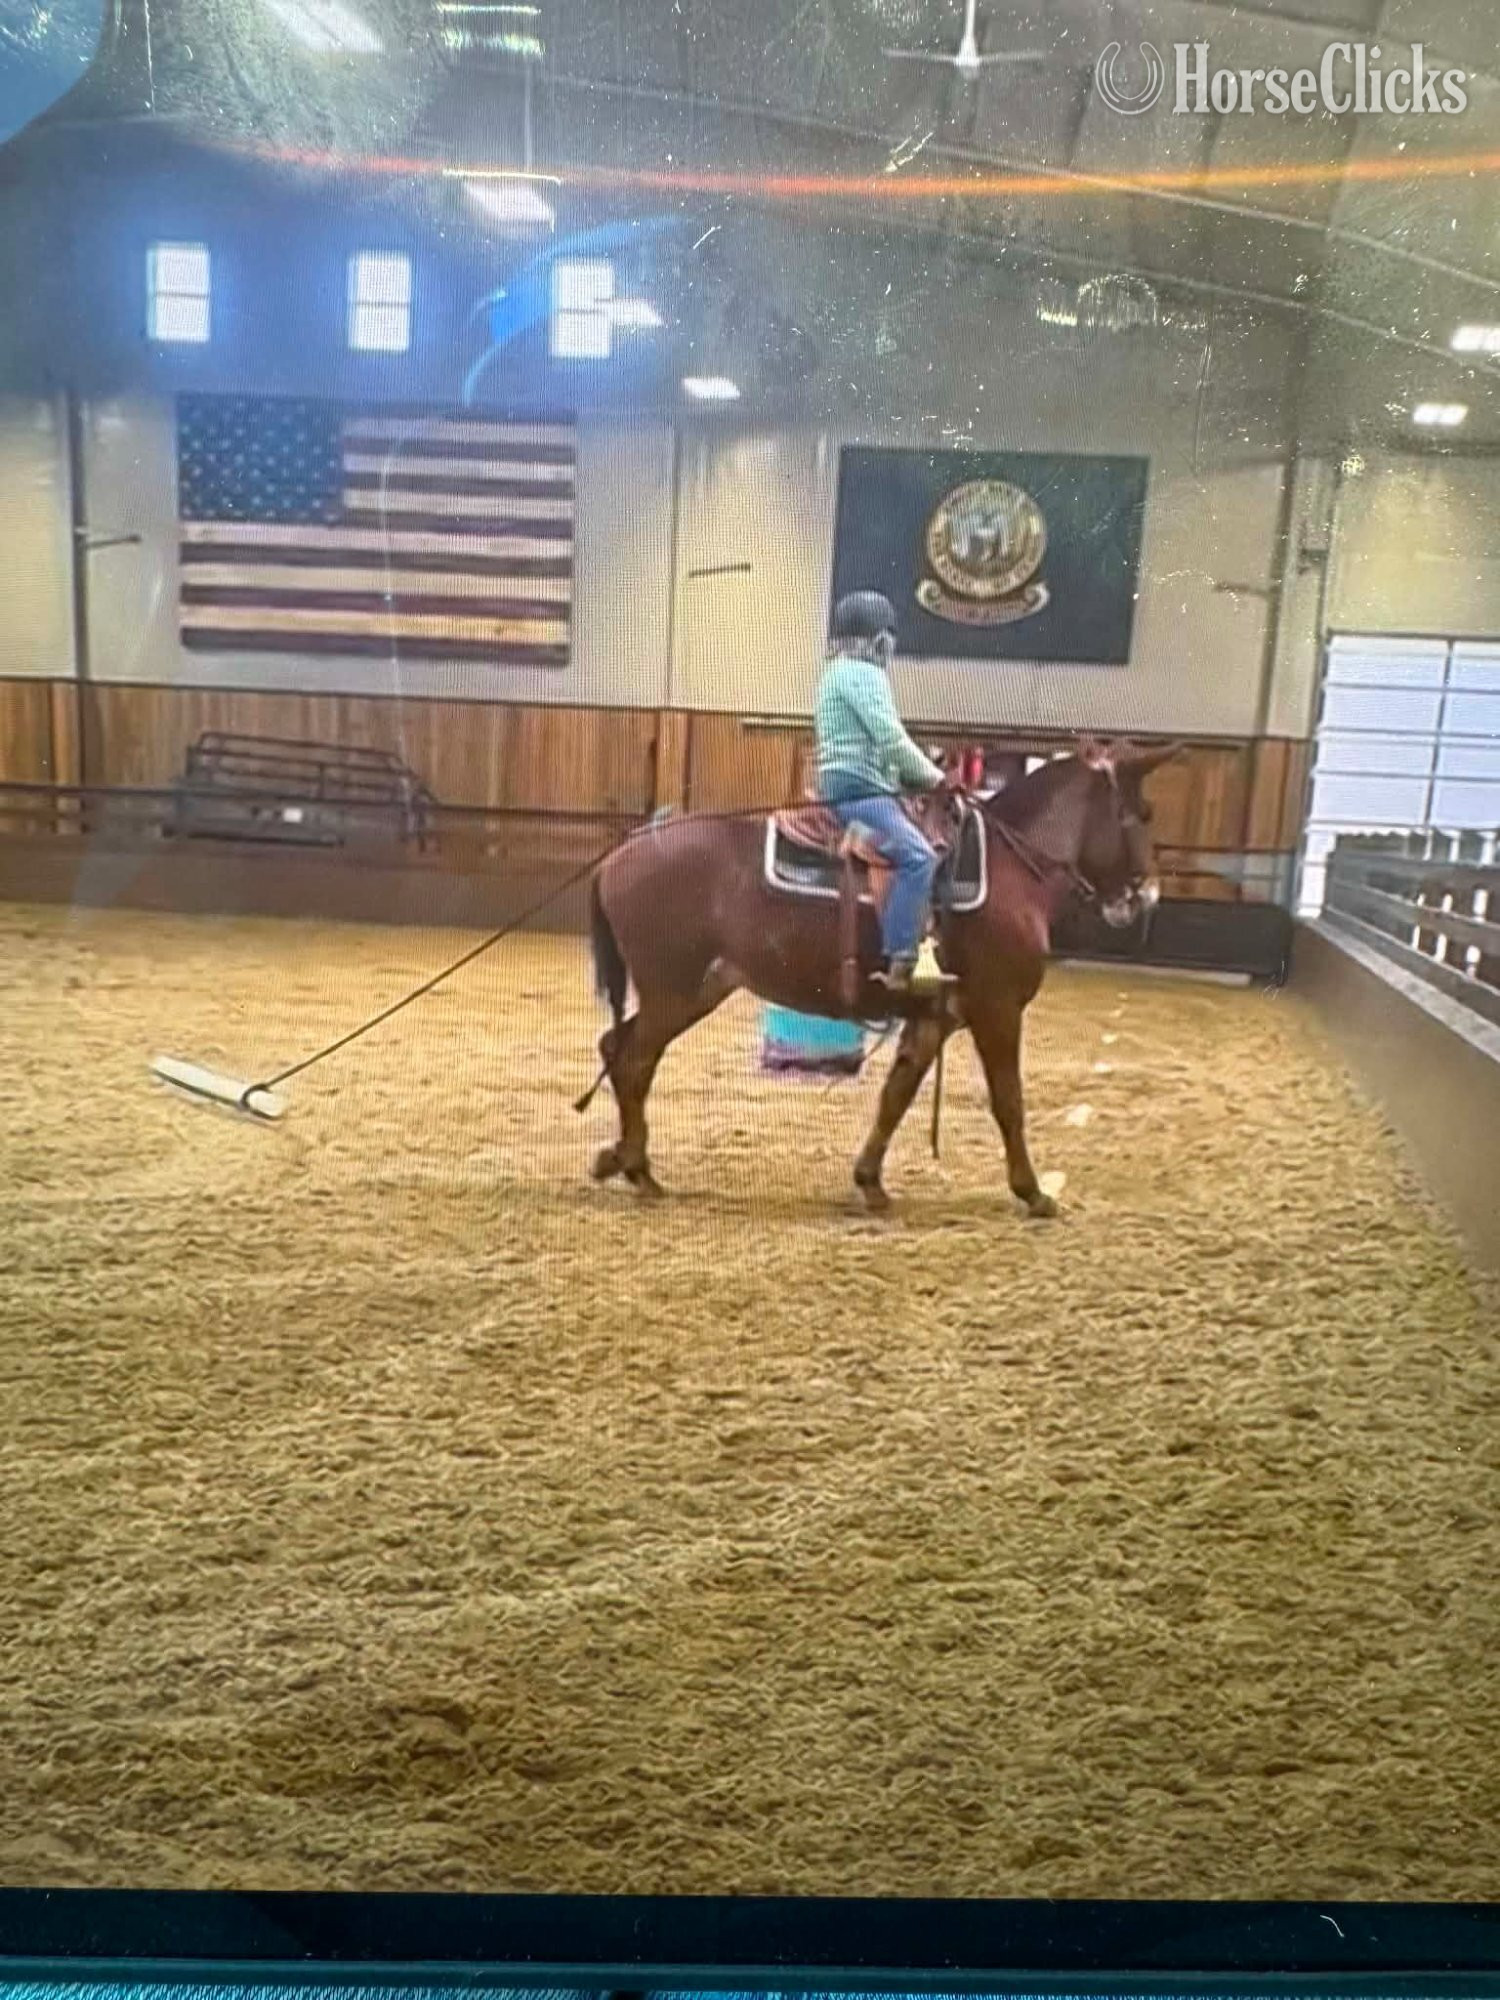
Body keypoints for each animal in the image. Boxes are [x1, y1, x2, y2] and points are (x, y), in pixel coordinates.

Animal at [577, 738, 1178, 1213]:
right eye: (1144, 812)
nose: (1146, 896)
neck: (1011, 870)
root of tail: (621, 854)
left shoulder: (935, 1019)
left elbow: (897, 1094)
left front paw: (870, 1182)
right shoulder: (998, 1011)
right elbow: (1009, 1101)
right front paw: (1032, 1192)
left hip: (696, 990)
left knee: (617, 1048)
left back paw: (620, 1160)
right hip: (674, 992)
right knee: (633, 1061)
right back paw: (638, 1169)